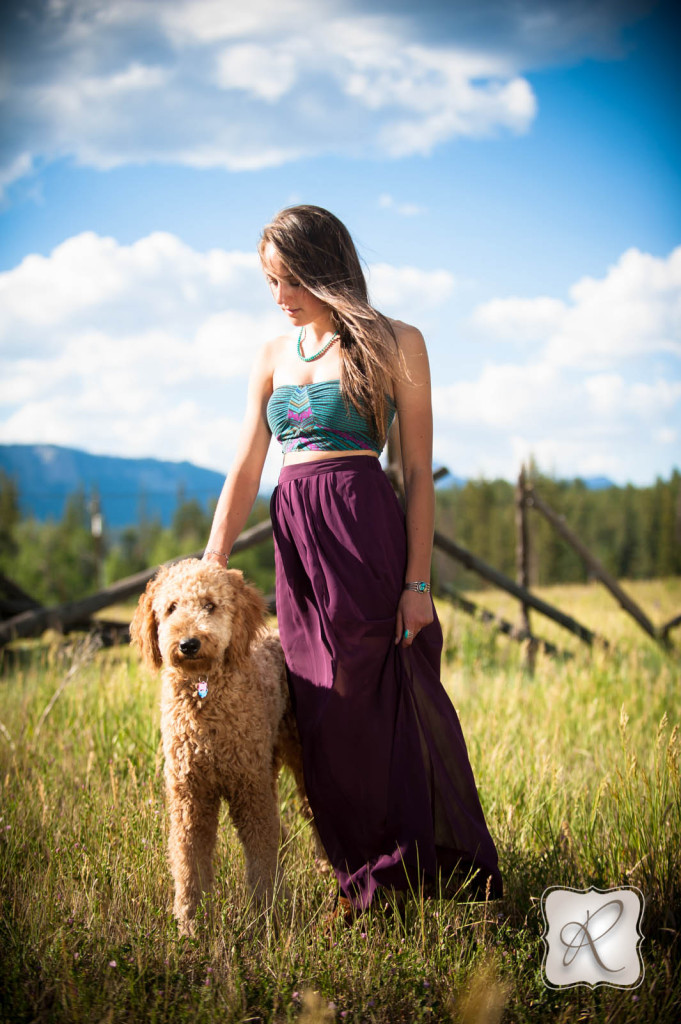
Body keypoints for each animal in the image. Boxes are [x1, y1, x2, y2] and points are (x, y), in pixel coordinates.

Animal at [130, 561, 315, 937]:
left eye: (210, 605)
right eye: (171, 608)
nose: (188, 643)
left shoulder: (249, 790)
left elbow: (260, 852)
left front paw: (266, 918)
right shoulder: (190, 797)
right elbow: (189, 861)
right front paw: (190, 925)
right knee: (282, 833)